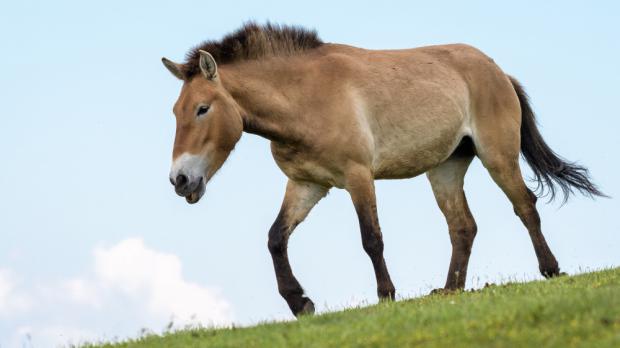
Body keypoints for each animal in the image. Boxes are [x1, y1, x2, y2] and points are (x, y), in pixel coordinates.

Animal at [161, 21, 604, 316]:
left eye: (202, 109)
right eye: (176, 112)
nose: (180, 180)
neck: (304, 97)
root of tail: (497, 71)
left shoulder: (358, 177)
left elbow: (371, 238)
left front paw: (386, 294)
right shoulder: (306, 184)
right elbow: (275, 239)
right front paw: (299, 302)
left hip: (498, 157)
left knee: (525, 206)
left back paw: (550, 270)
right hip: (445, 169)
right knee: (463, 227)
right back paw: (450, 290)